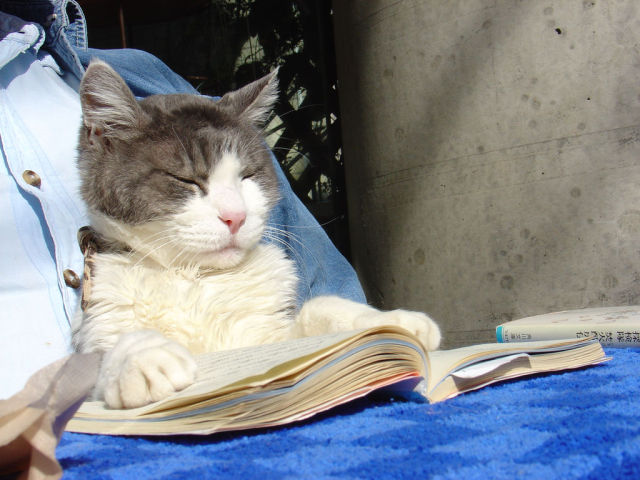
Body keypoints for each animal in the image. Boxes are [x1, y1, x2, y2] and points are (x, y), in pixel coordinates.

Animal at [71, 60, 440, 410]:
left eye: (248, 175)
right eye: (186, 179)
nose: (236, 216)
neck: (197, 278)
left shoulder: (268, 336)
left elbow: (317, 309)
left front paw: (390, 322)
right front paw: (144, 356)